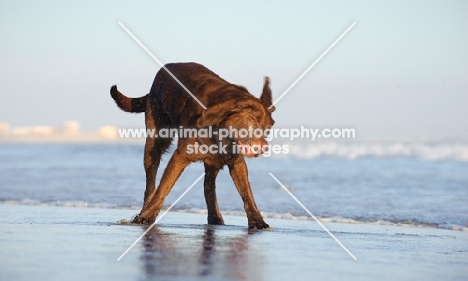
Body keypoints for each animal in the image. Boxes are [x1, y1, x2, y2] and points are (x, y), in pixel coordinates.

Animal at [110, 62, 274, 229]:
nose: (264, 147)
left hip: (212, 161)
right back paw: (144, 210)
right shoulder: (180, 156)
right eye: (253, 120)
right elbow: (163, 188)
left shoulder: (237, 162)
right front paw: (147, 216)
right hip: (155, 141)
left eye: (268, 127)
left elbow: (247, 193)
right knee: (151, 183)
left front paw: (257, 220)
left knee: (208, 186)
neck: (220, 132)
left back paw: (214, 217)